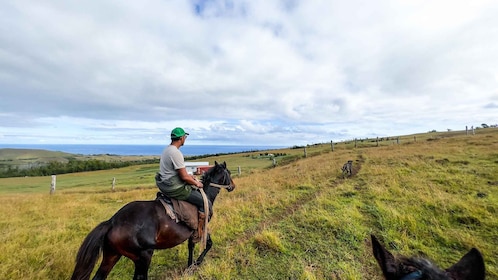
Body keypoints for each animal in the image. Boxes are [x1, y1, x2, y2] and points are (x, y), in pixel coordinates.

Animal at [71, 162, 236, 280]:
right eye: (228, 173)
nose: (233, 186)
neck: (205, 195)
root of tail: (112, 222)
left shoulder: (192, 232)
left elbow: (191, 247)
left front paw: (189, 266)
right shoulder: (201, 227)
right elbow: (208, 244)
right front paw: (196, 263)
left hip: (112, 255)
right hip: (143, 256)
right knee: (140, 277)